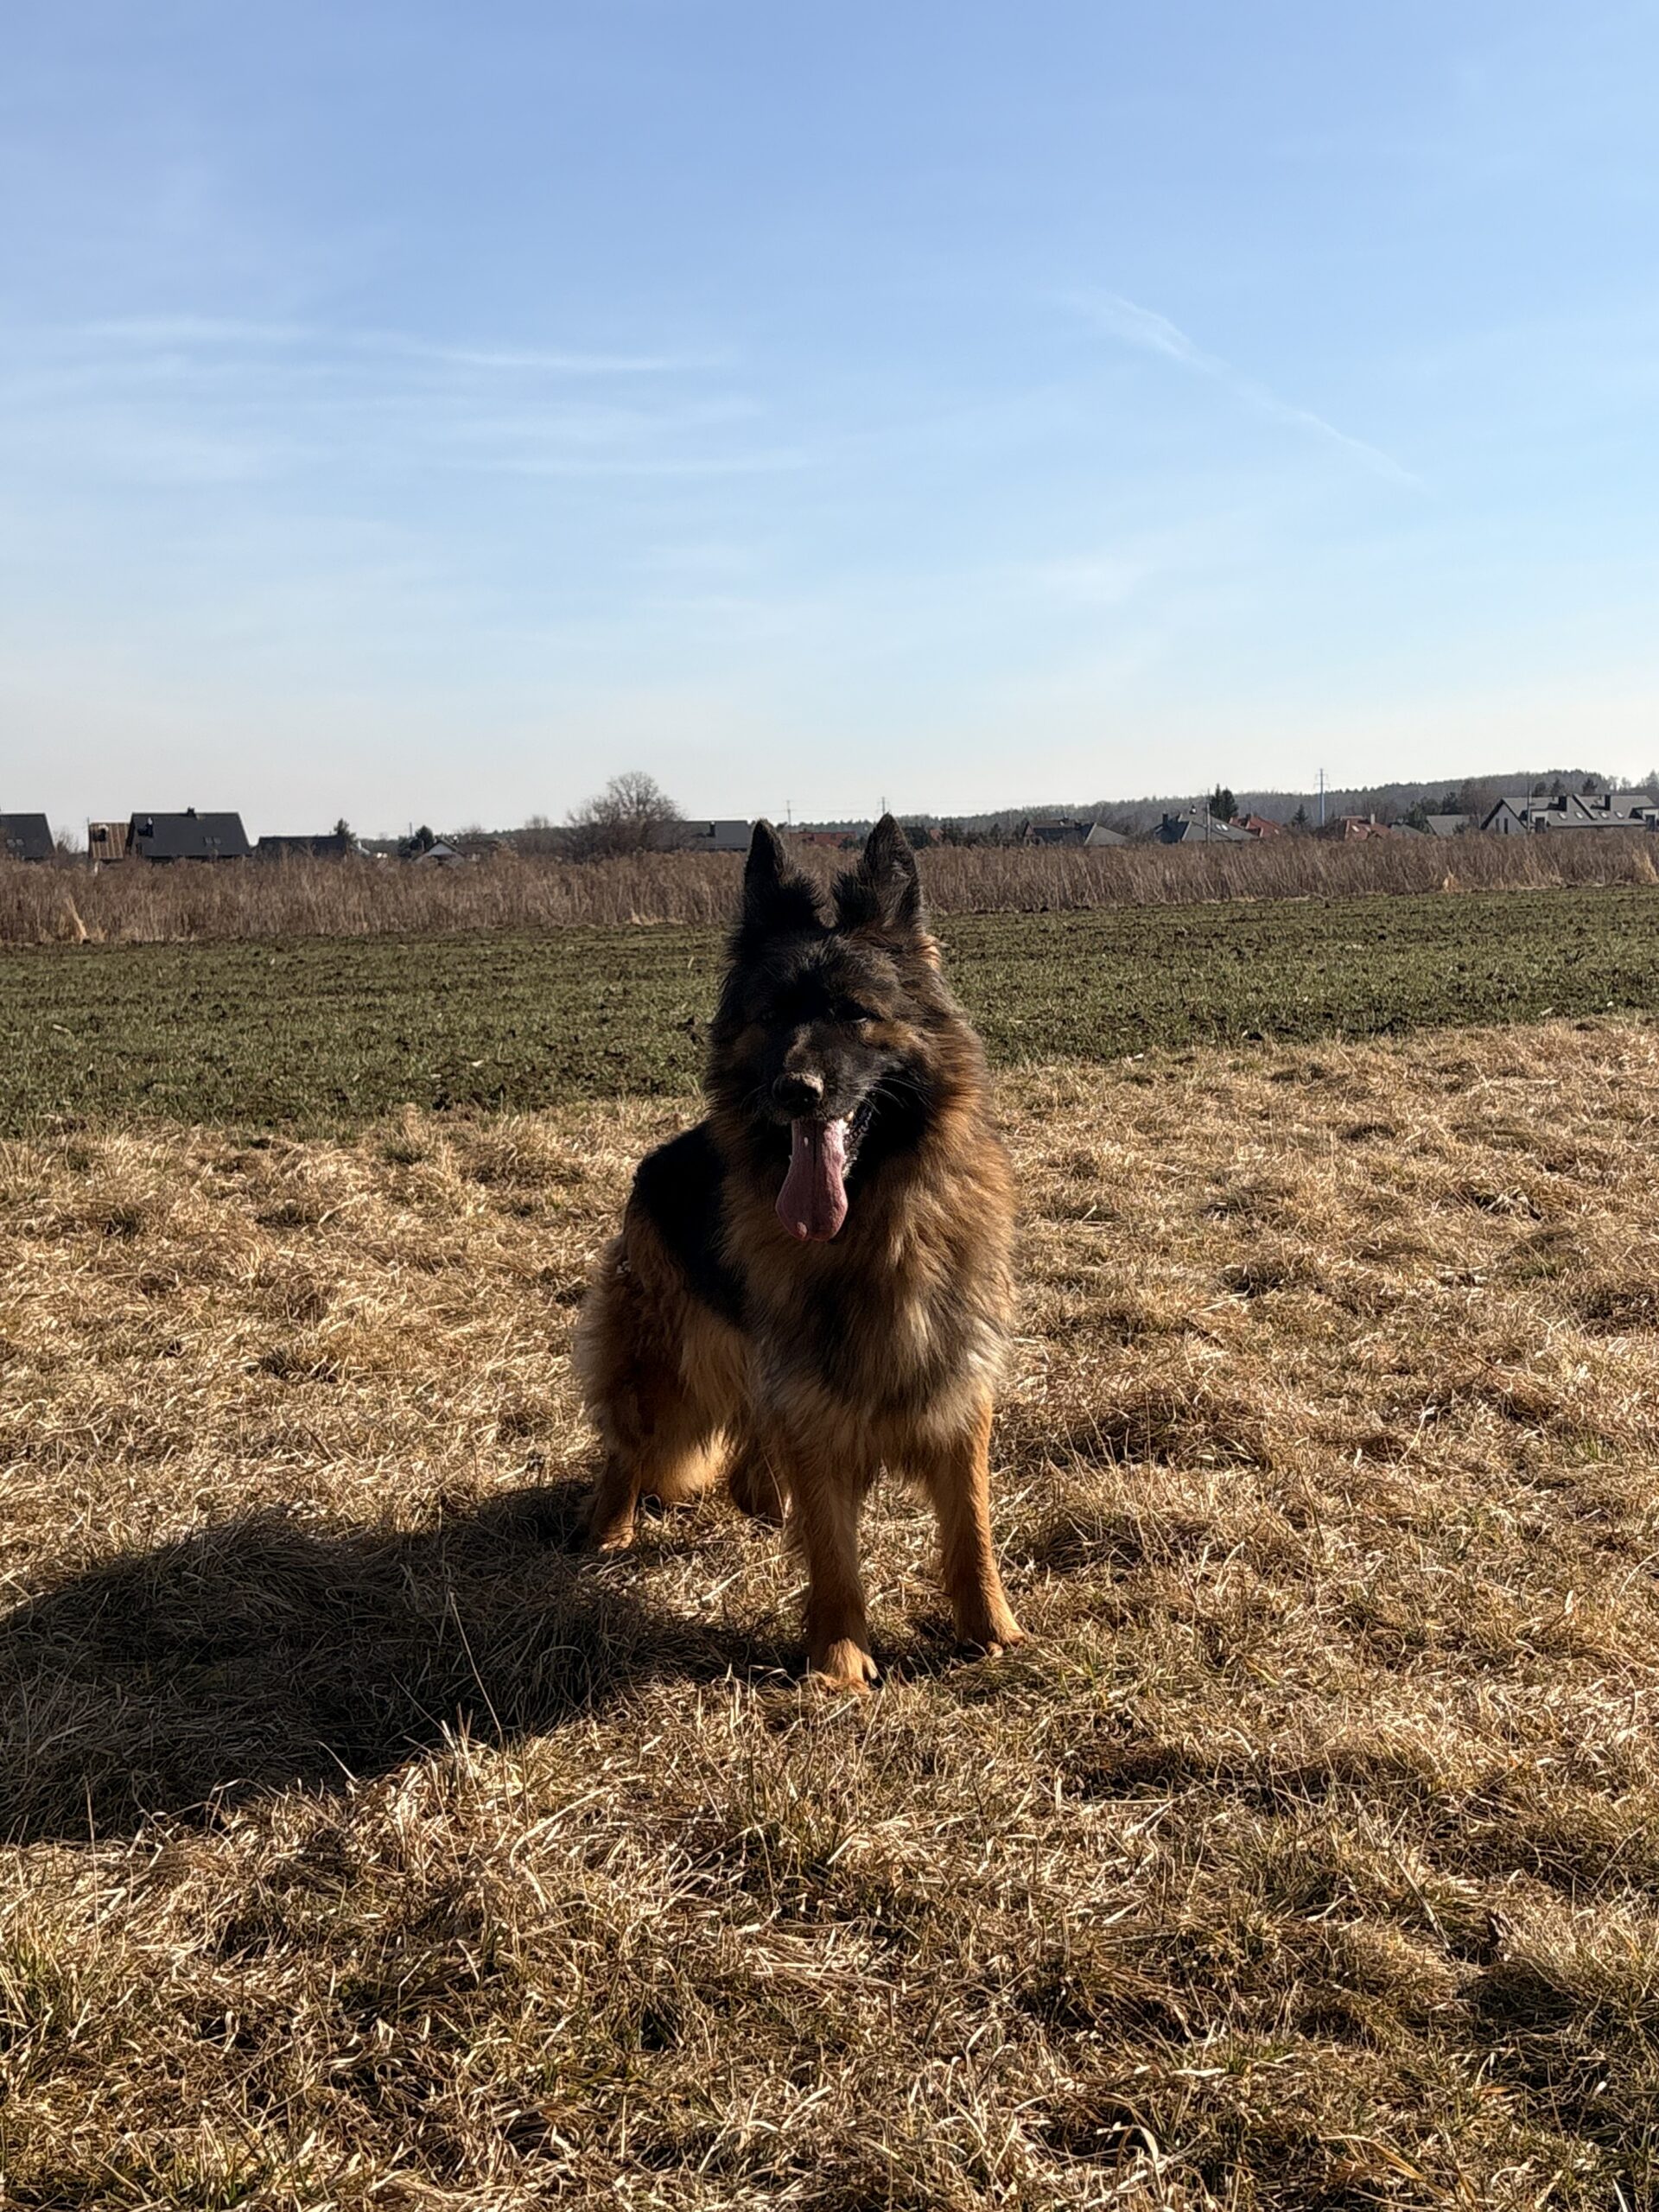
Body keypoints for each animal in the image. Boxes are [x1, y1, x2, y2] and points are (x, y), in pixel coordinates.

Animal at [576, 815, 1023, 1691]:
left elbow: (972, 1527)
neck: (875, 1230)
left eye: (855, 1013)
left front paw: (991, 1632)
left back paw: (759, 1502)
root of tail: (656, 1160)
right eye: (774, 1015)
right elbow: (833, 1547)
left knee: (749, 1437)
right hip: (668, 1370)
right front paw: (839, 1659)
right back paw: (609, 1530)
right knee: (628, 1445)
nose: (796, 1091)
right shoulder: (814, 1404)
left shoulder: (956, 1383)